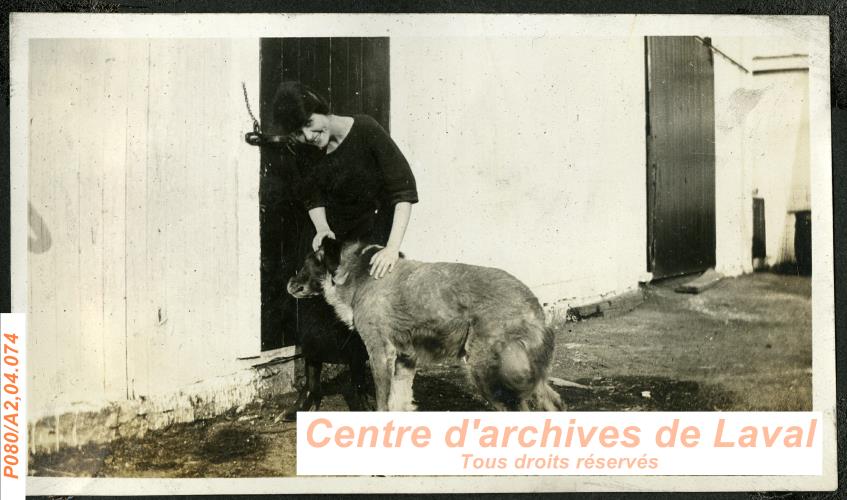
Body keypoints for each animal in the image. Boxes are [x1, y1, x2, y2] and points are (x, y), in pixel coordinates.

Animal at [288, 240, 568, 412]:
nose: (288, 284)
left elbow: (383, 402)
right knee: (553, 403)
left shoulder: (380, 353)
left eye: (305, 264)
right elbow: (399, 404)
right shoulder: (405, 358)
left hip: (488, 372)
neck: (359, 274)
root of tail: (533, 305)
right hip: (524, 374)